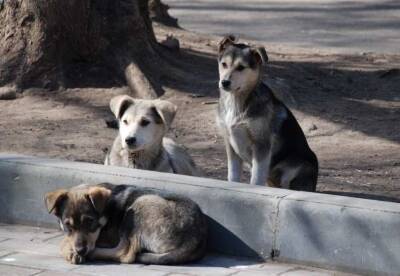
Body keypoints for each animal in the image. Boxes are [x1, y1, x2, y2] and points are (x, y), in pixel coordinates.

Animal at [44, 183, 208, 266]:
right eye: (68, 225)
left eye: (90, 222)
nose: (80, 251)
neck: (106, 210)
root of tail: (195, 239)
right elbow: (67, 239)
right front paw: (72, 251)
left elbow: (63, 242)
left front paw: (71, 251)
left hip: (140, 205)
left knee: (126, 253)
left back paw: (93, 254)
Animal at [216, 35, 318, 192]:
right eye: (224, 64)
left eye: (241, 67)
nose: (224, 82)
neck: (237, 102)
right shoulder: (230, 144)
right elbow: (232, 176)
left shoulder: (261, 145)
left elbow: (256, 178)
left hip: (293, 168)